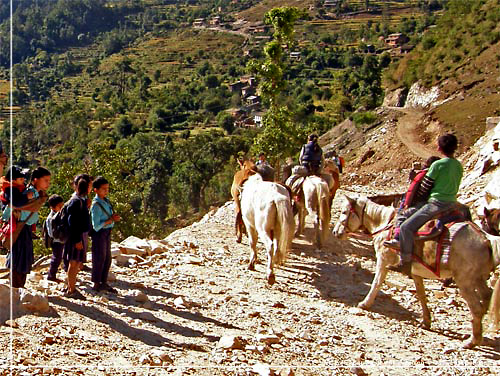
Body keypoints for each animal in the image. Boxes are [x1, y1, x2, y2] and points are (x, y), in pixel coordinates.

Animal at [332, 195, 500, 348]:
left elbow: (376, 283)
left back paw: (471, 342)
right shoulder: (416, 272)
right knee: (487, 297)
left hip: (465, 282)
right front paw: (425, 321)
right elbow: (421, 295)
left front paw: (364, 303)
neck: (384, 224)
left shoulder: (382, 260)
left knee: (476, 308)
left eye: (344, 212)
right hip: (478, 279)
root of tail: (486, 239)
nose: (335, 232)